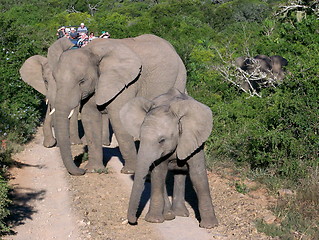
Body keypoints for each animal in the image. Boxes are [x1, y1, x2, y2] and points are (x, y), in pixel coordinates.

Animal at [47, 34, 188, 175]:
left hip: (179, 77)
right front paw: (93, 170)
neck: (92, 51)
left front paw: (130, 171)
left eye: (82, 81)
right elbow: (89, 118)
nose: (81, 170)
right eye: (55, 79)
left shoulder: (126, 84)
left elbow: (118, 119)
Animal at [120, 87, 220, 229]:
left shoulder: (193, 139)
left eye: (162, 140)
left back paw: (180, 213)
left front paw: (210, 226)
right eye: (140, 137)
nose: (134, 221)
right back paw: (169, 215)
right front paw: (154, 220)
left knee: (181, 173)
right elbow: (159, 173)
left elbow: (197, 175)